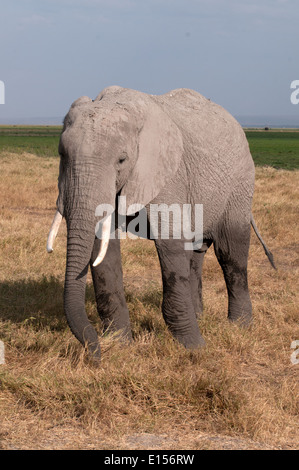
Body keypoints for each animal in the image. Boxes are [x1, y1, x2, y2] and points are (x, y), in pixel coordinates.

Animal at [46, 85, 274, 364]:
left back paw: (240, 327)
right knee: (195, 251)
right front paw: (120, 344)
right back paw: (200, 317)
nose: (94, 355)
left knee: (231, 252)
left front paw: (195, 347)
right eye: (61, 155)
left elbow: (170, 243)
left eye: (122, 160)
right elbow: (104, 251)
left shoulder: (168, 173)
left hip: (240, 183)